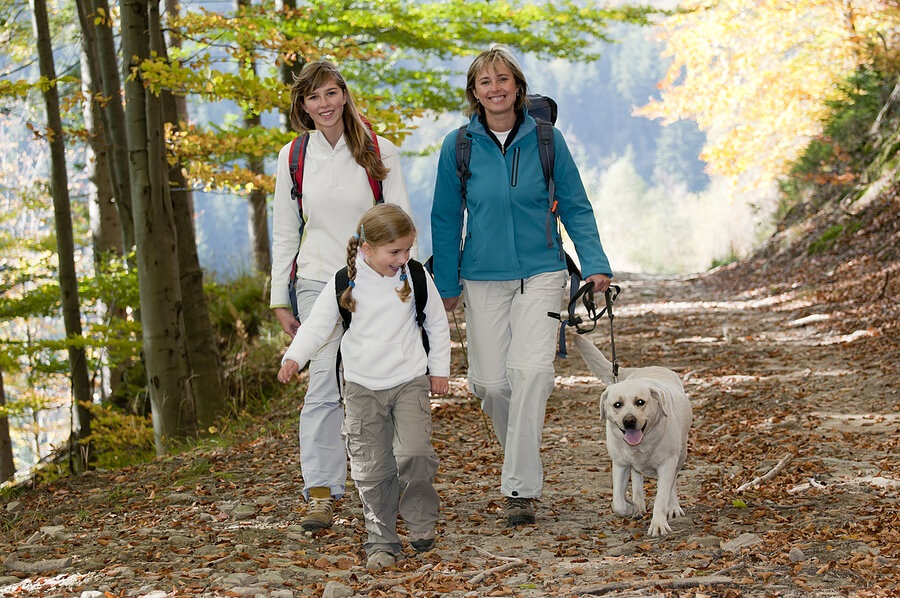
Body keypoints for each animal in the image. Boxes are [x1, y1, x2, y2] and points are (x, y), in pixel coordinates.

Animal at [572, 336, 692, 536]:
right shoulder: (620, 464)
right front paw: (631, 507)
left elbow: (662, 497)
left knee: (673, 482)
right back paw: (638, 504)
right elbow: (618, 503)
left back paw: (673, 506)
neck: (642, 444)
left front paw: (658, 524)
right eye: (617, 404)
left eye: (640, 402)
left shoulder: (667, 463)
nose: (629, 421)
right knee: (637, 476)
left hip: (681, 454)